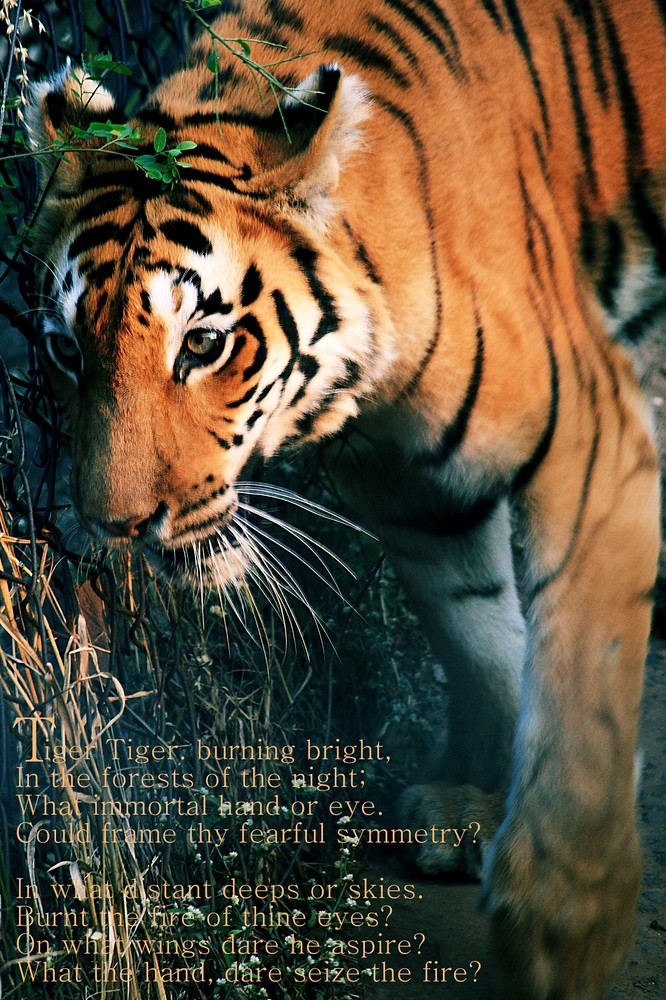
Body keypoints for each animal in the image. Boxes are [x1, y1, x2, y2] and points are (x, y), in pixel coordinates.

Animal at [26, 1, 665, 997]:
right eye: (65, 351)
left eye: (204, 343)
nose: (117, 527)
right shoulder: (411, 488)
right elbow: (481, 630)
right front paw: (473, 806)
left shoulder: (594, 439)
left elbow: (581, 680)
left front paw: (566, 923)